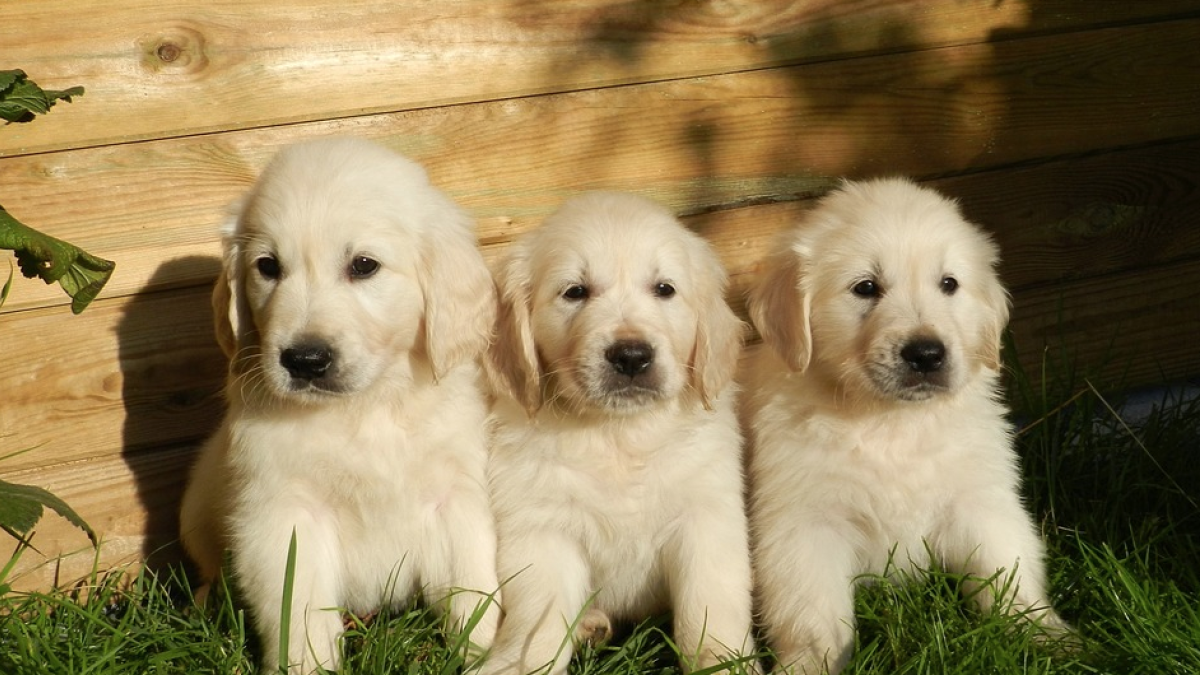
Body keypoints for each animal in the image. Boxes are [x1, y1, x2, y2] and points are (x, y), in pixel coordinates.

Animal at [177, 136, 501, 672]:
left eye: (364, 265)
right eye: (268, 267)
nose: (304, 360)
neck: (364, 409)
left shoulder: (455, 494)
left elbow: (474, 589)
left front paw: (499, 651)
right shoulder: (284, 514)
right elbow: (299, 612)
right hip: (199, 508)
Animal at [480, 190, 753, 672]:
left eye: (664, 289)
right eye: (575, 291)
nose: (631, 356)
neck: (618, 435)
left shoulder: (706, 513)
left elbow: (711, 603)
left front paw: (722, 659)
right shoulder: (541, 527)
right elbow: (539, 618)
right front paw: (519, 664)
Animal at [744, 176, 1075, 667]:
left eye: (949, 284)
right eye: (865, 287)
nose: (926, 354)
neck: (891, 421)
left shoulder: (981, 501)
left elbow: (1009, 573)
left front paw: (1048, 636)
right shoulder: (805, 525)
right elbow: (813, 615)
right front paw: (809, 664)